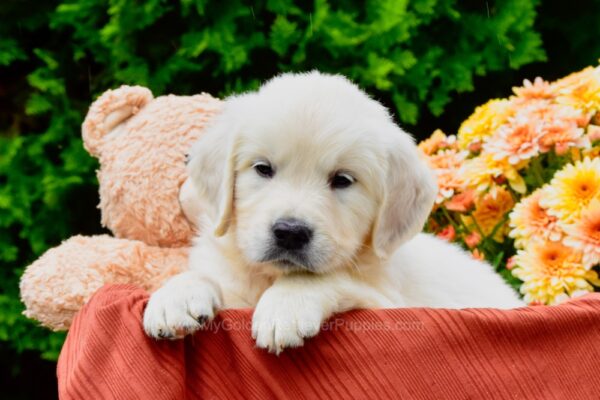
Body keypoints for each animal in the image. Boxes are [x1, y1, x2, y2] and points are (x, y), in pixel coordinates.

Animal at [143, 72, 524, 354]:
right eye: (263, 169)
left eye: (342, 180)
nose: (290, 232)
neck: (268, 277)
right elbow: (203, 276)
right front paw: (174, 297)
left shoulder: (391, 305)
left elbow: (327, 277)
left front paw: (286, 305)